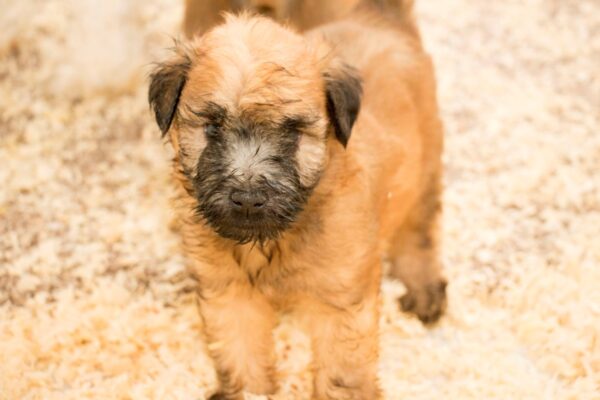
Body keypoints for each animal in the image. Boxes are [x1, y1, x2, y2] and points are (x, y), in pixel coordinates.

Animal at [150, 3, 448, 400]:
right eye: (212, 128)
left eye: (292, 132)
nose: (248, 200)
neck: (273, 241)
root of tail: (379, 17)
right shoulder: (230, 293)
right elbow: (240, 354)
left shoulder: (341, 304)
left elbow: (341, 375)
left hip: (424, 163)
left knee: (419, 230)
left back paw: (423, 288)